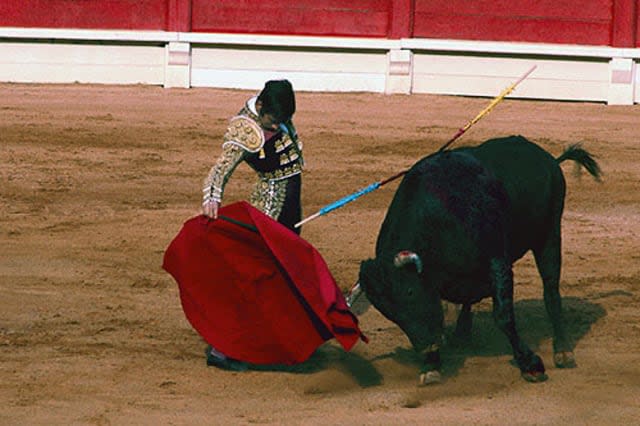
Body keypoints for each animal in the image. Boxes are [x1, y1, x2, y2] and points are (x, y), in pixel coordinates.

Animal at [360, 135, 600, 384]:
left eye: (409, 291)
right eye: (388, 312)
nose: (428, 348)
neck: (439, 217)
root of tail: (549, 158)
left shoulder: (497, 264)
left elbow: (503, 316)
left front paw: (530, 364)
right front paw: (431, 365)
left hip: (549, 234)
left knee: (551, 290)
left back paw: (563, 350)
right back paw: (462, 333)